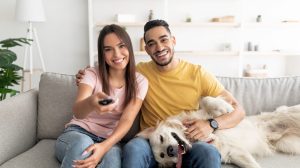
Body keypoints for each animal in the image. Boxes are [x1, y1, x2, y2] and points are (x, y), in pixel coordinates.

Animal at [137, 96, 300, 168]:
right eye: (163, 156)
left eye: (161, 138)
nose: (170, 150)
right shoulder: (234, 153)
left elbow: (205, 100)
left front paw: (224, 107)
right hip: (289, 144)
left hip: (288, 112)